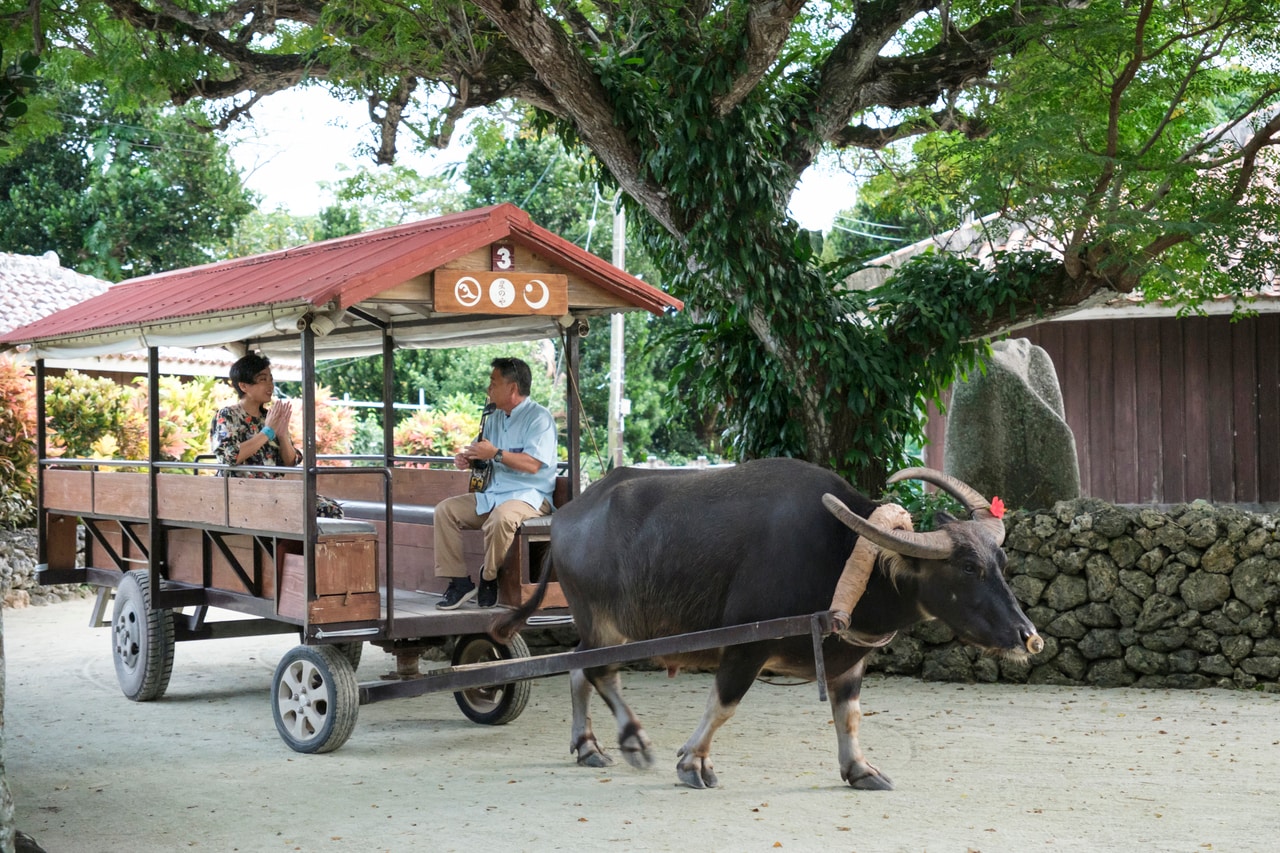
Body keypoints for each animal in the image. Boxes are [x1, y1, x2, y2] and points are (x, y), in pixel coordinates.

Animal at [494, 455, 1044, 788]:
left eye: (1000, 560)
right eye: (968, 568)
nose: (1029, 638)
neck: (845, 558)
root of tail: (564, 517)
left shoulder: (849, 659)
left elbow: (849, 715)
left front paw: (859, 769)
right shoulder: (746, 647)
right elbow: (723, 705)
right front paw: (692, 763)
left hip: (601, 628)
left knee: (579, 669)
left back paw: (588, 747)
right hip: (604, 623)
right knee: (600, 673)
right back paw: (633, 740)